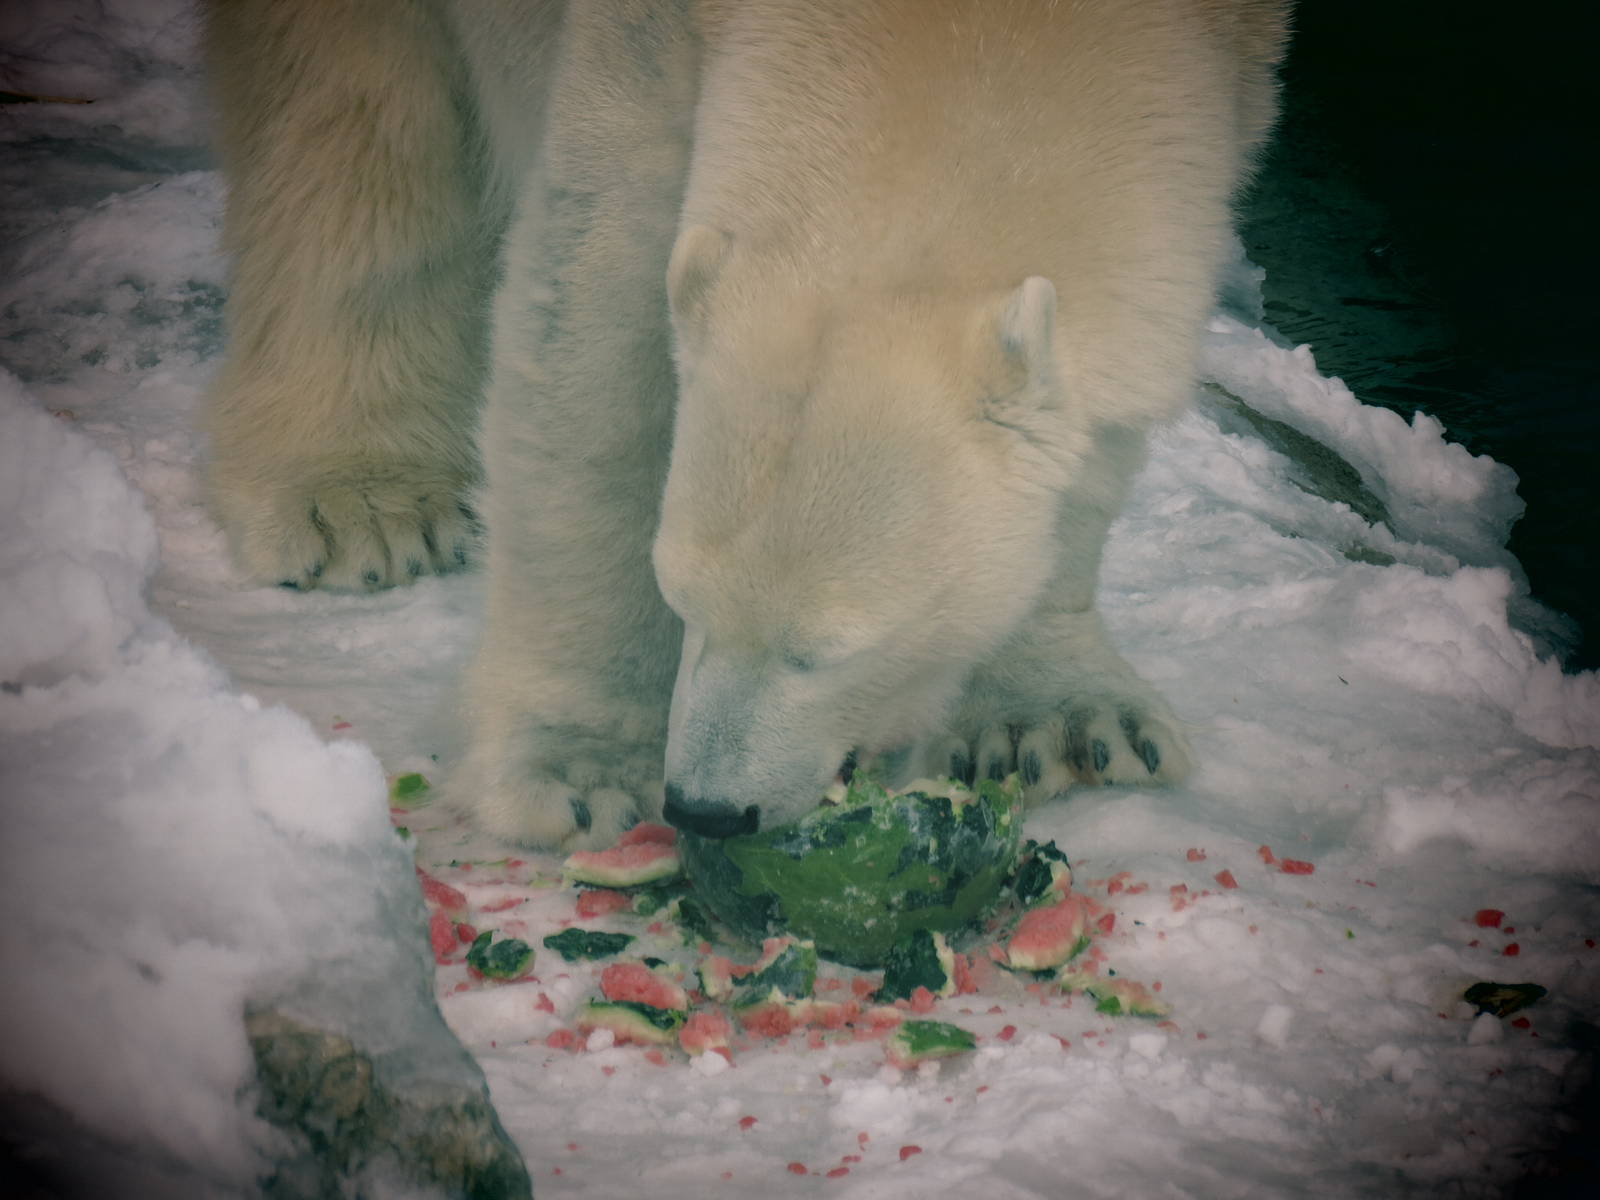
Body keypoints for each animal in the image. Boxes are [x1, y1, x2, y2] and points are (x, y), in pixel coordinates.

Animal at [202, 0, 1288, 847]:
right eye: (678, 598)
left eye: (826, 650)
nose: (707, 808)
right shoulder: (645, 50)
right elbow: (591, 337)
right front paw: (581, 769)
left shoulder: (1234, 60)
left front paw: (1056, 726)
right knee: (349, 114)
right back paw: (362, 503)